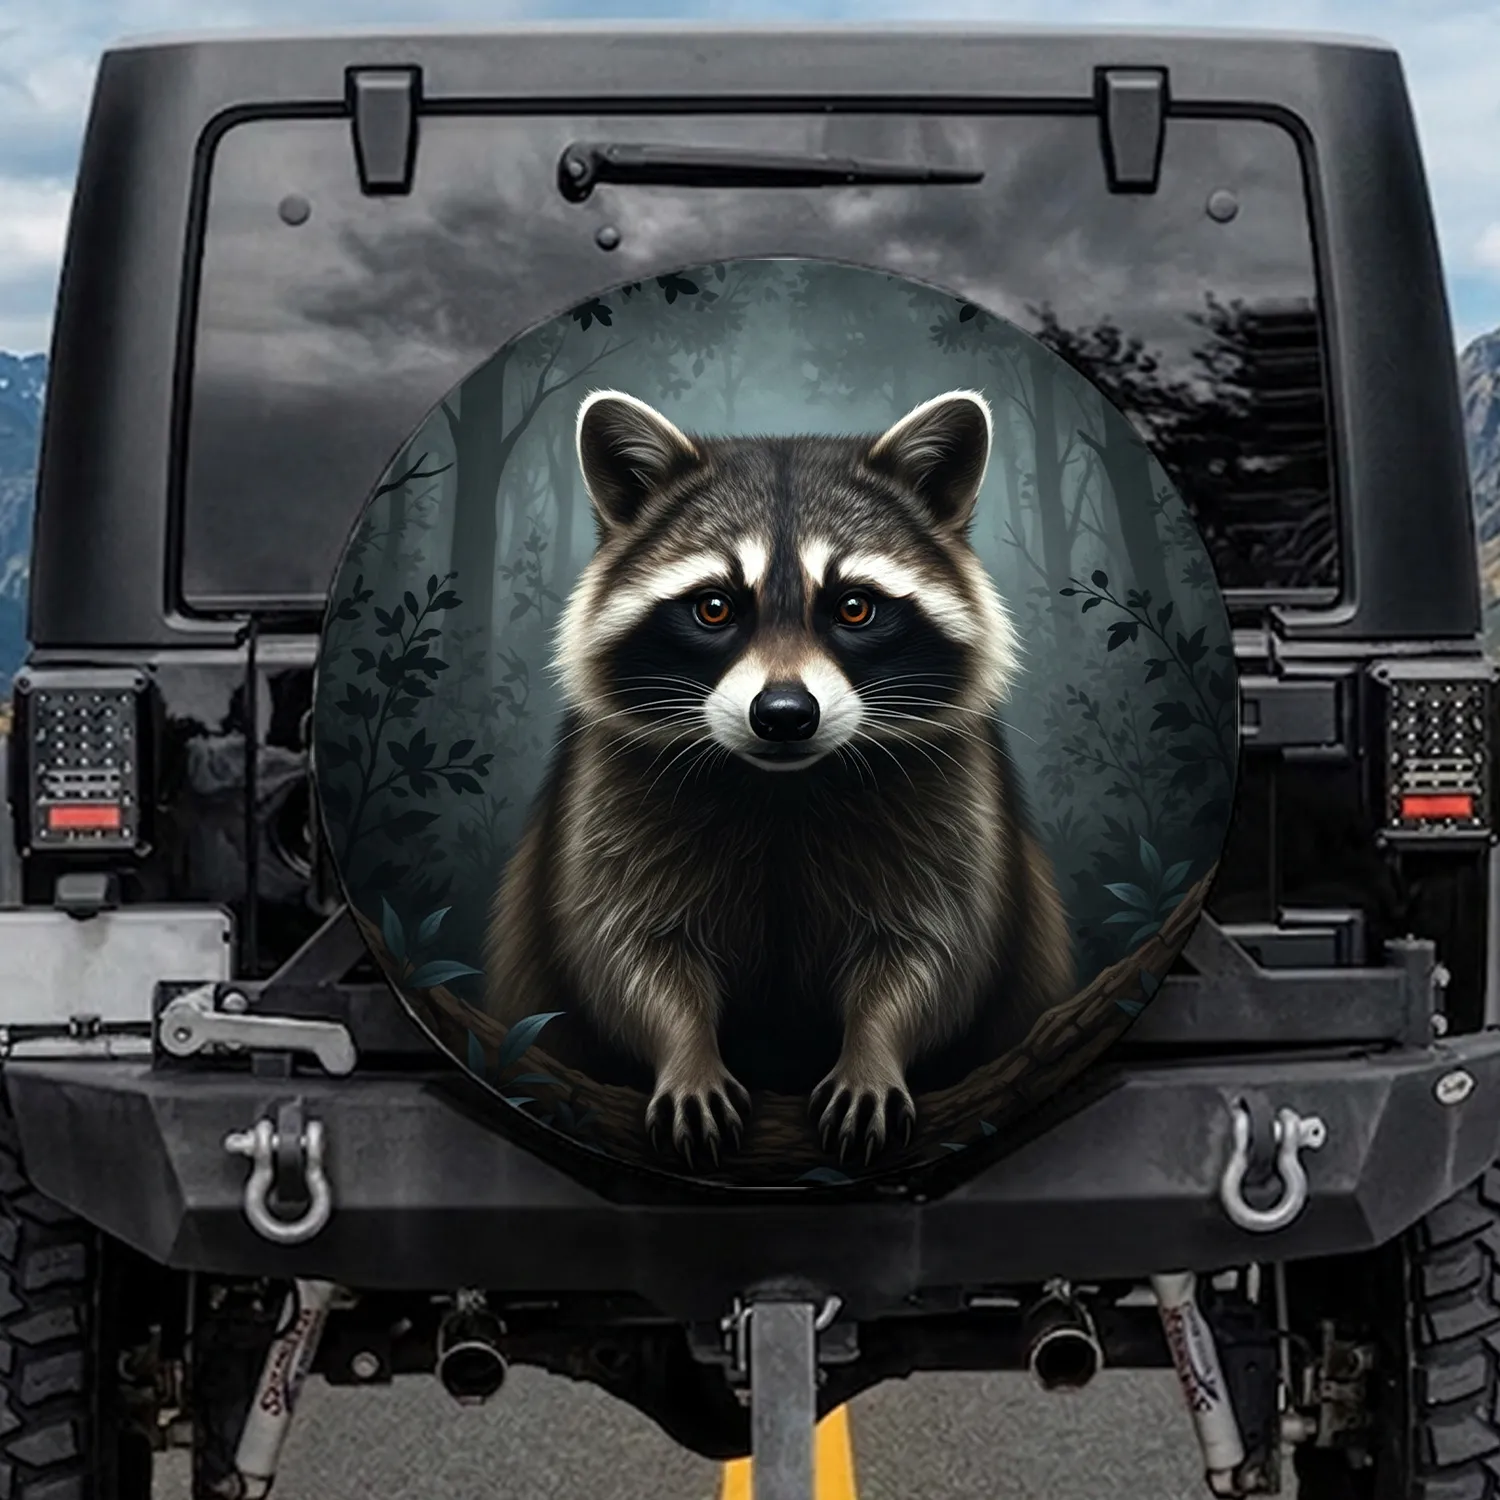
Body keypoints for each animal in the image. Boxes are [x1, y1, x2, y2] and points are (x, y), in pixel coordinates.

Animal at [485, 387, 1073, 1167]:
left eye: (854, 606)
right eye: (714, 606)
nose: (786, 715)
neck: (783, 786)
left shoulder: (952, 798)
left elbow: (935, 950)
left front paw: (874, 1049)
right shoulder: (610, 799)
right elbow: (625, 948)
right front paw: (686, 1052)